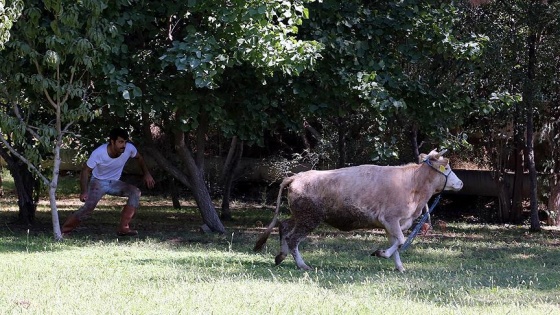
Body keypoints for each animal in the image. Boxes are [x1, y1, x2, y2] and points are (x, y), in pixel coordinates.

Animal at [255, 150, 464, 272]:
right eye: (447, 167)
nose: (461, 183)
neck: (413, 184)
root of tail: (296, 176)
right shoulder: (390, 219)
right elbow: (400, 241)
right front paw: (381, 253)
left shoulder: (393, 224)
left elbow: (396, 244)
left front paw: (399, 267)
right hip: (309, 218)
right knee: (293, 238)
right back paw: (302, 264)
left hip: (300, 215)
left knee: (284, 226)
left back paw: (280, 256)